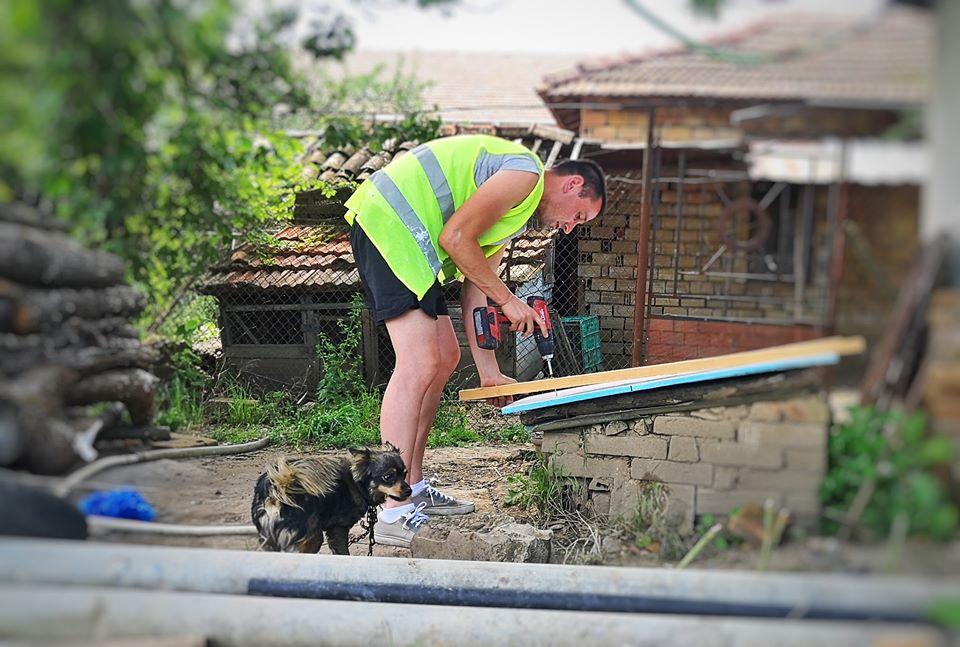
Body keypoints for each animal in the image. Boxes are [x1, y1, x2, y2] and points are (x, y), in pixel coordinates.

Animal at [251, 442, 410, 554]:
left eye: (404, 474)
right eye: (388, 476)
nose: (409, 491)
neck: (355, 482)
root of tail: (278, 487)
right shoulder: (337, 529)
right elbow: (342, 552)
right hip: (312, 538)